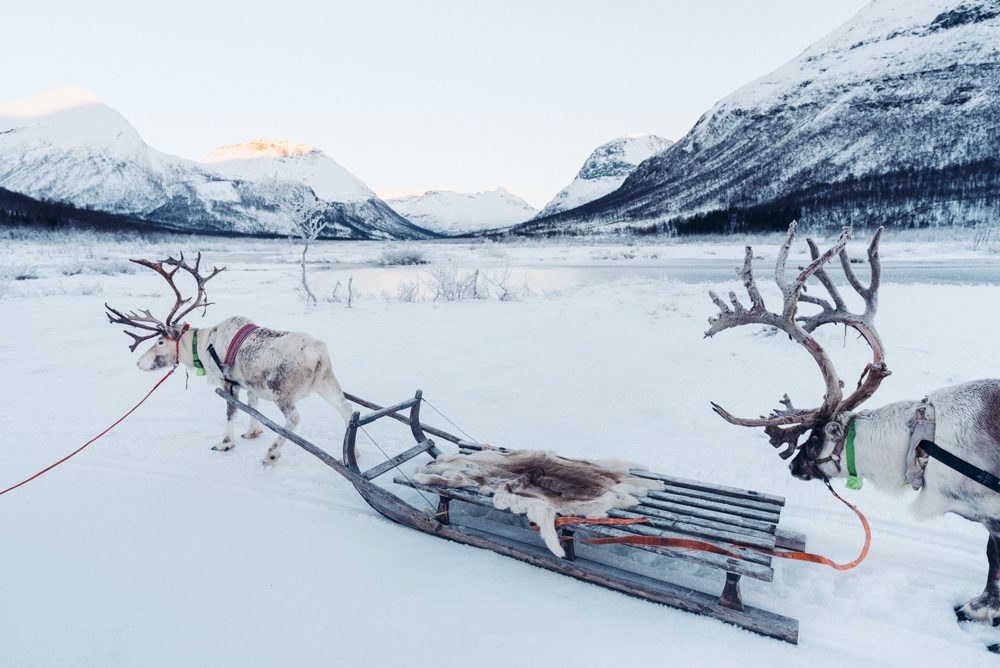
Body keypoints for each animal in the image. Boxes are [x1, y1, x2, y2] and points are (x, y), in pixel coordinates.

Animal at [106, 253, 355, 465]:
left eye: (159, 341)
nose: (139, 362)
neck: (203, 346)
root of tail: (317, 351)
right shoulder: (249, 385)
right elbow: (253, 407)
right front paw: (253, 432)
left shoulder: (228, 384)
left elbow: (231, 413)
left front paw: (225, 443)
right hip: (326, 382)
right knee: (347, 409)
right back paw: (351, 455)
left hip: (281, 391)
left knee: (294, 419)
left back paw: (272, 453)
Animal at [705, 222, 1000, 627]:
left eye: (814, 439)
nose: (793, 466)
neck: (922, 444)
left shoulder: (993, 512)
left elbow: (992, 558)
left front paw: (979, 608)